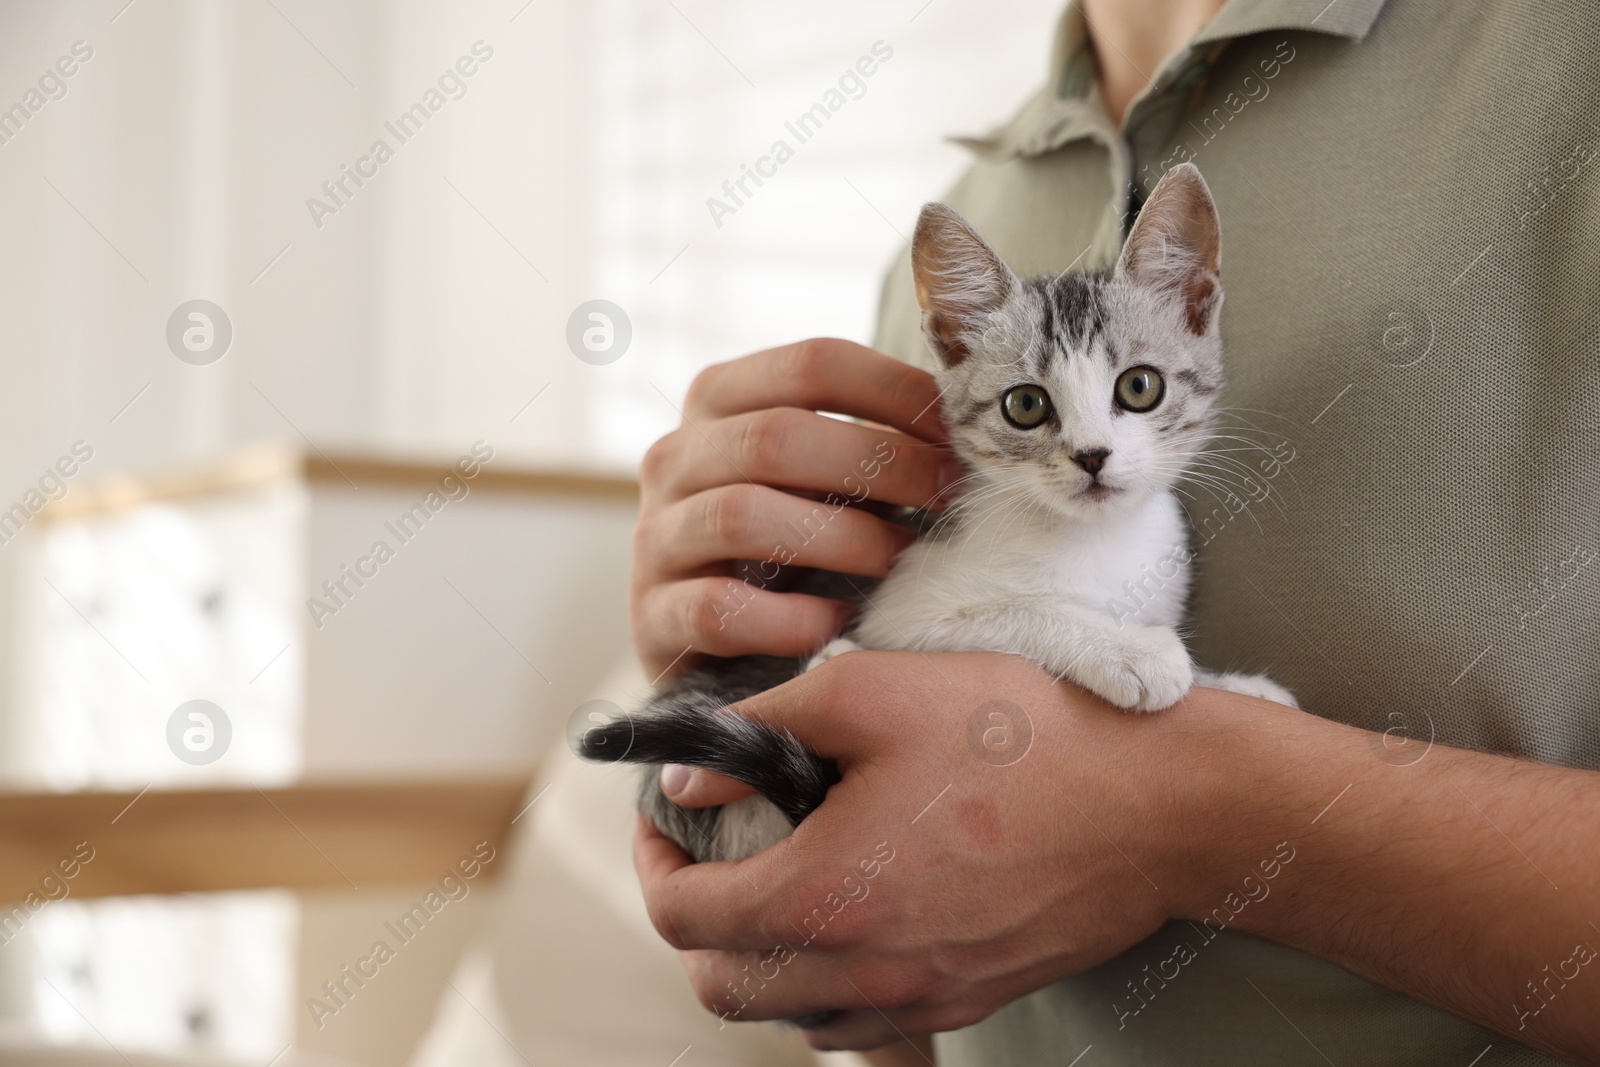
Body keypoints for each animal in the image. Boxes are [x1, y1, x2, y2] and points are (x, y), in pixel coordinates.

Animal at [582, 163, 1292, 870]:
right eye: (1026, 405)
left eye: (1140, 387)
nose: (1092, 456)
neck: (1091, 539)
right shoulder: (903, 613)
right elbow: (1015, 611)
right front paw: (1130, 651)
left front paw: (1235, 688)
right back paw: (828, 658)